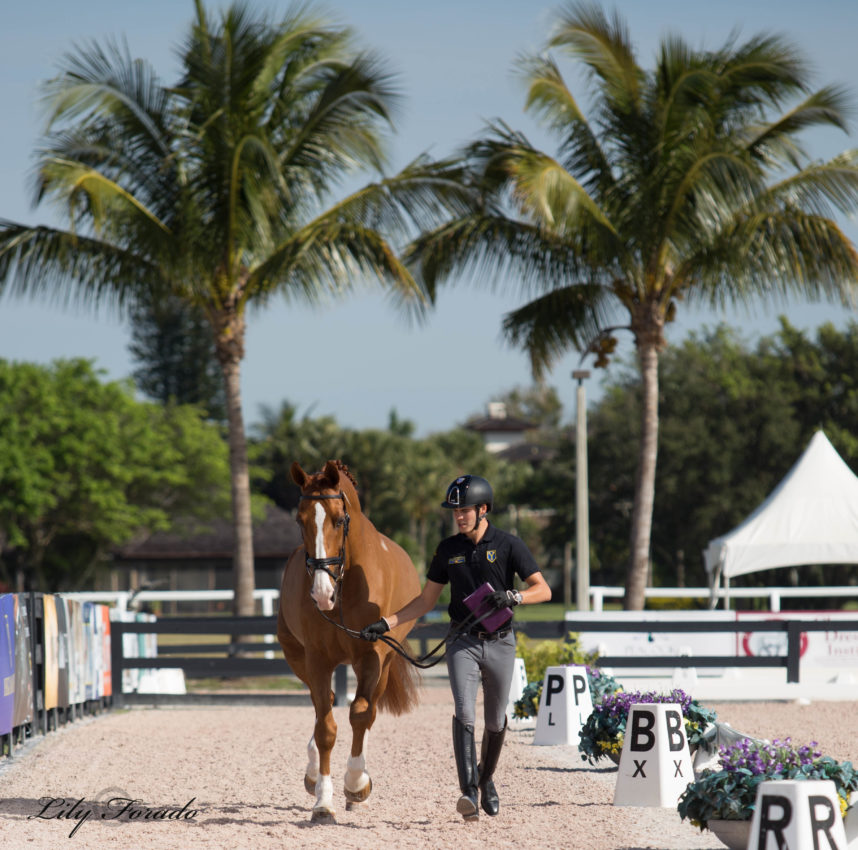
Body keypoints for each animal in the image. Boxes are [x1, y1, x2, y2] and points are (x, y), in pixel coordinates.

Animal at [276, 460, 420, 820]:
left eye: (339, 520)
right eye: (299, 520)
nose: (321, 594)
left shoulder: (371, 658)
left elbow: (360, 715)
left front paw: (356, 784)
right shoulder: (316, 659)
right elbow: (326, 728)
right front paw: (323, 801)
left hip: (383, 667)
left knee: (366, 713)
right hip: (298, 658)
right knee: (323, 705)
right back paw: (314, 774)